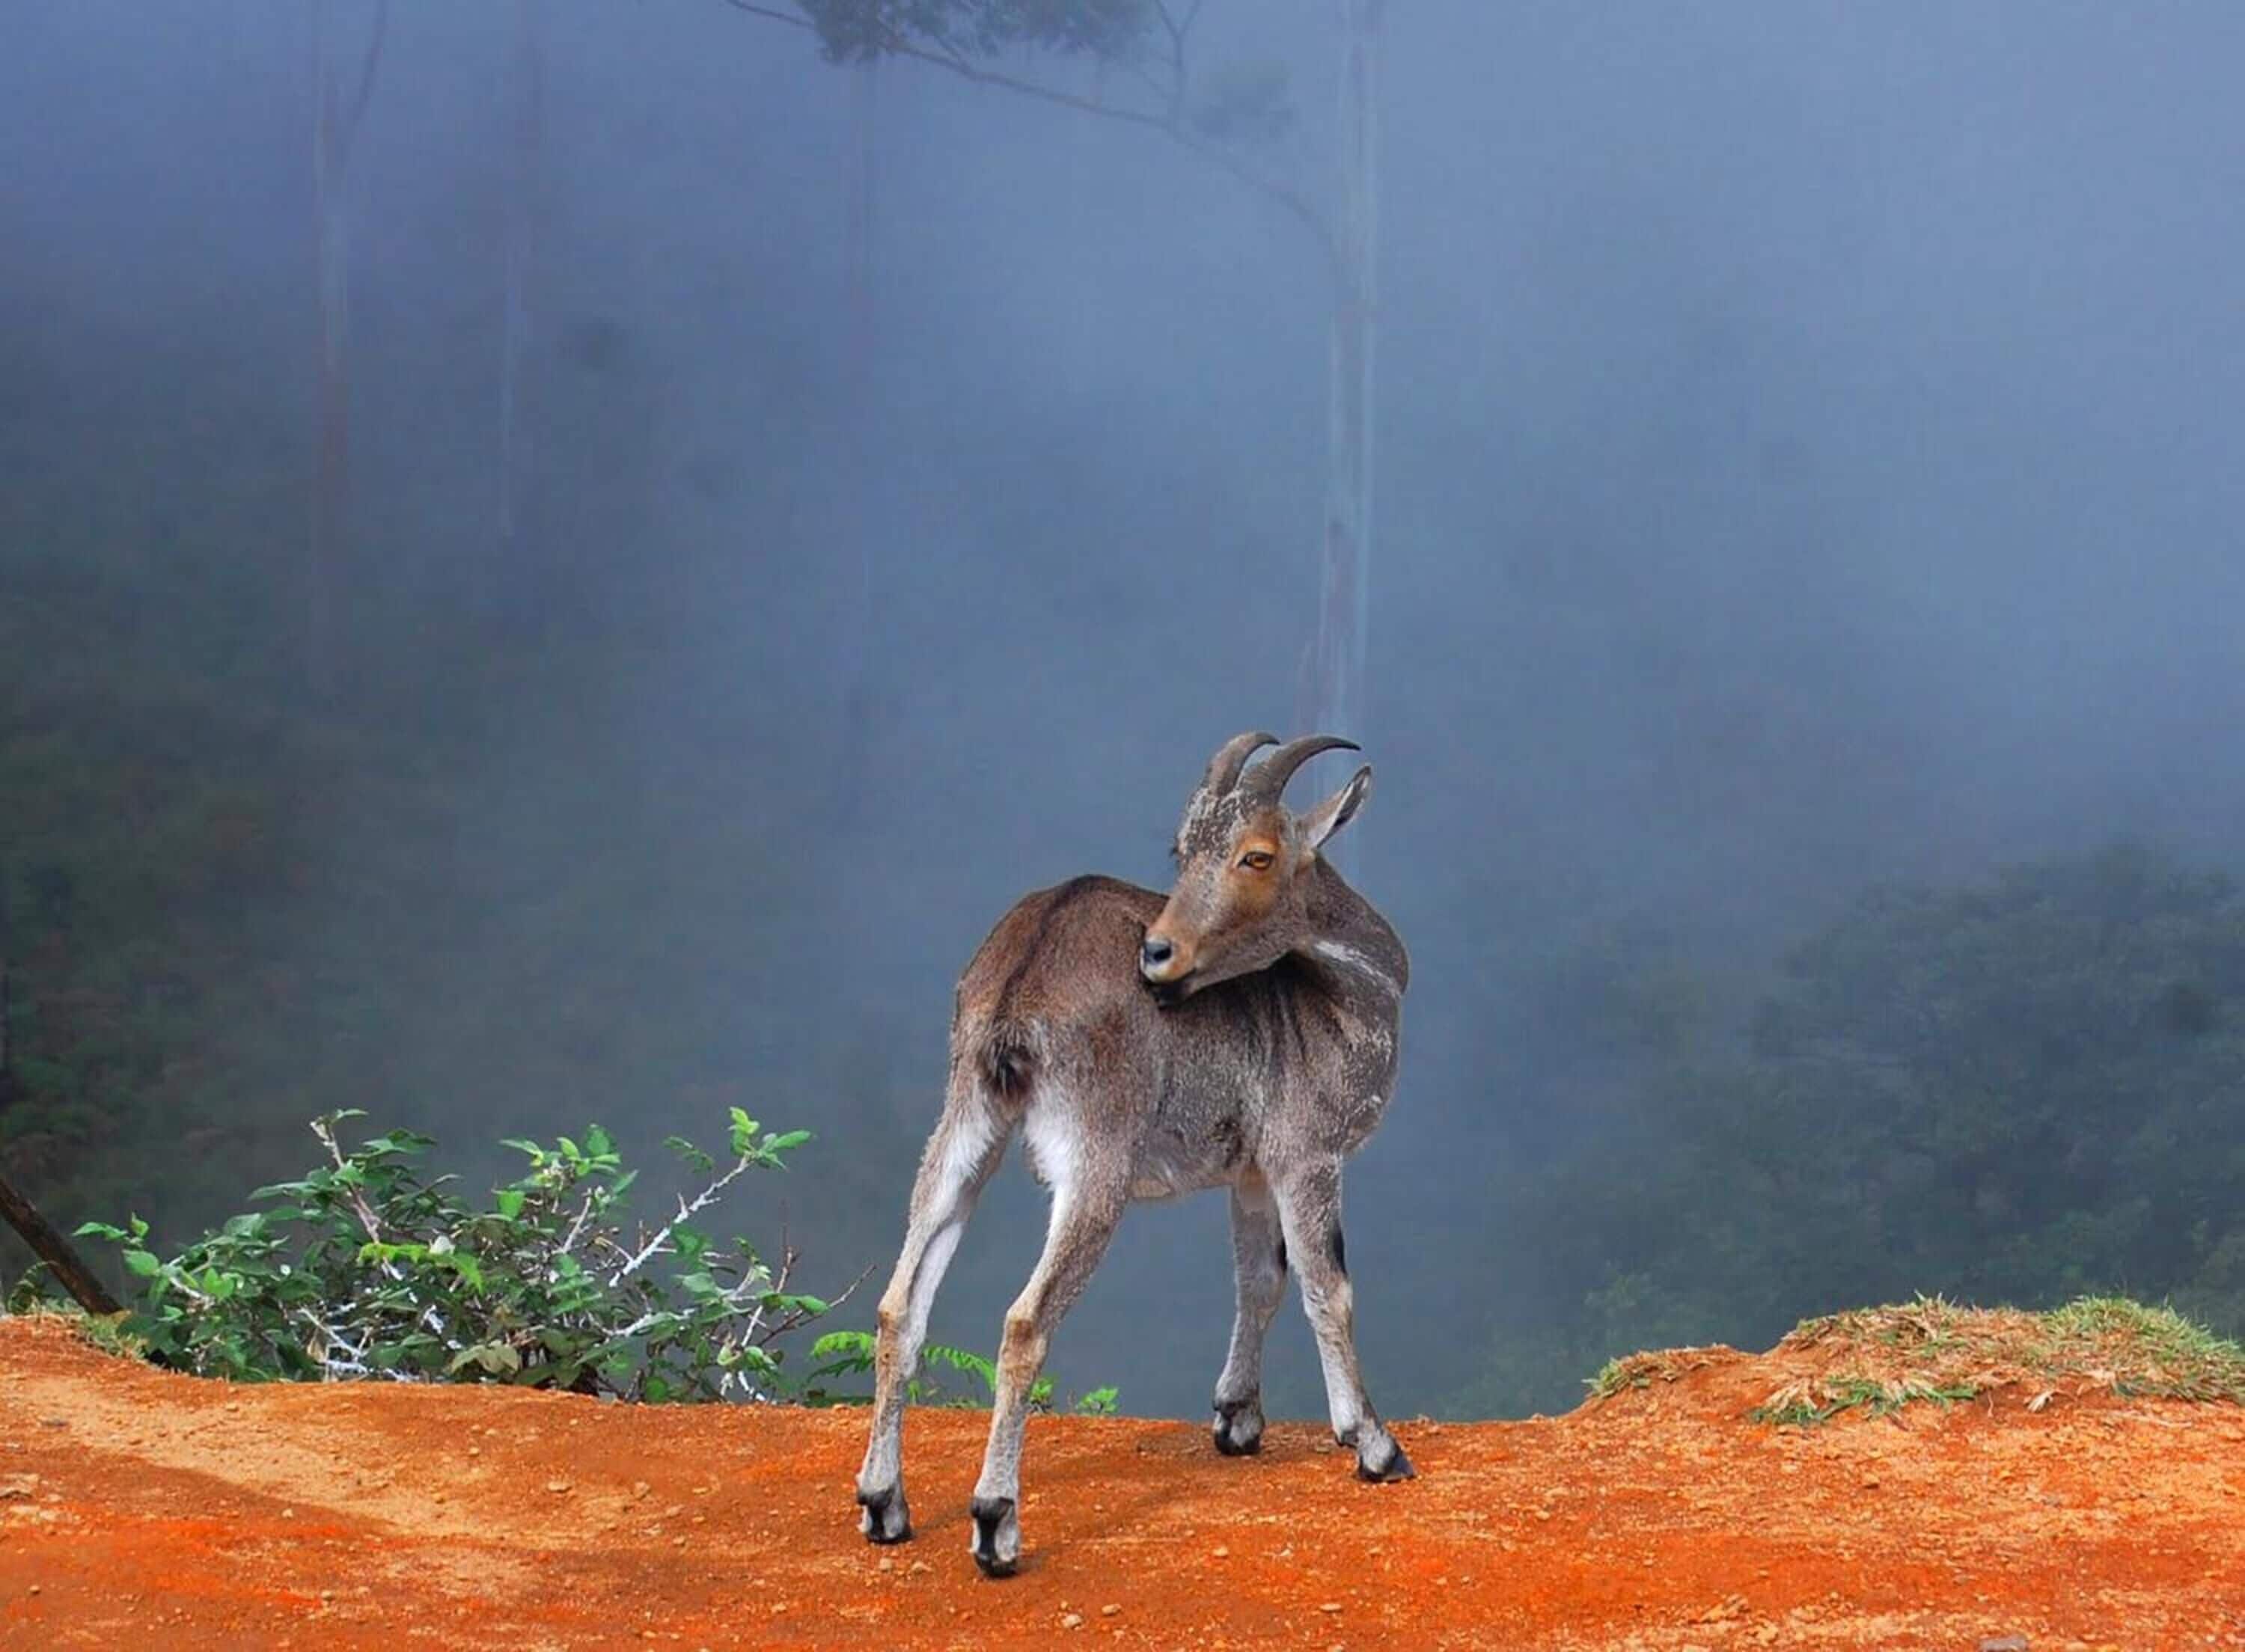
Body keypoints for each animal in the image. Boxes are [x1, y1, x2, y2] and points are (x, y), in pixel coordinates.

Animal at [853, 731, 1413, 1576]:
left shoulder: (1251, 1172)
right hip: (1094, 1158)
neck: (1339, 993)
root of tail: (1021, 976)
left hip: (966, 1124)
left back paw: (885, 1504)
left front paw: (1236, 1420)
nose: (1160, 953)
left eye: (1254, 855)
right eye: (1184, 850)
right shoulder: (1306, 1154)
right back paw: (995, 1522)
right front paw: (1374, 1445)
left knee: (899, 1307)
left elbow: (1261, 1281)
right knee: (1025, 1323)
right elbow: (1328, 1288)